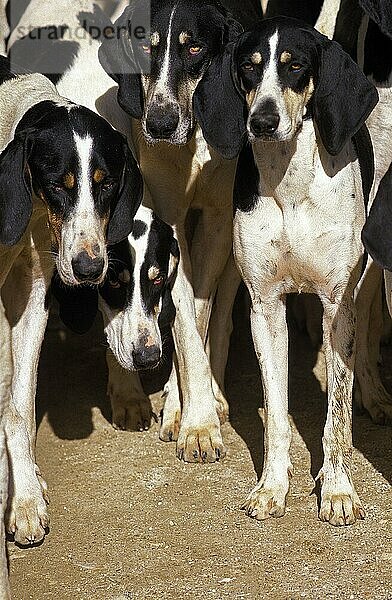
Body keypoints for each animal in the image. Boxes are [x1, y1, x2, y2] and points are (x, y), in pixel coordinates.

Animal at [0, 57, 142, 544]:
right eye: (57, 184)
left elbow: (19, 407)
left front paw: (24, 497)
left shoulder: (30, 301)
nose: (88, 269)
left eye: (106, 184)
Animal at [98, 0, 264, 464]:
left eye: (194, 49)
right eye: (145, 47)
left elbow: (201, 316)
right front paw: (195, 423)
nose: (159, 122)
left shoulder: (218, 220)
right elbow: (185, 323)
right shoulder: (168, 217)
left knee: (222, 317)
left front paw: (194, 410)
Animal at [194, 17, 378, 524]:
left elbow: (335, 416)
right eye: (249, 67)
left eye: (295, 66)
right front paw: (272, 488)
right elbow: (276, 416)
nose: (262, 121)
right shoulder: (266, 309)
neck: (291, 185)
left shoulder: (338, 309)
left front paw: (337, 491)